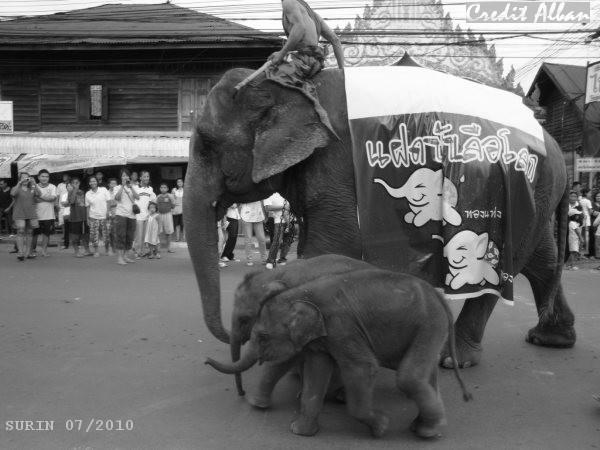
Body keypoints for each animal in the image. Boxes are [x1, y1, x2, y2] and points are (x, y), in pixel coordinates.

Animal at [184, 67, 576, 370]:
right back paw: (551, 338)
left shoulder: (335, 163)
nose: (233, 334)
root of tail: (556, 144)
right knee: (542, 261)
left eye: (205, 142)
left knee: (508, 272)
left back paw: (455, 359)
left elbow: (331, 245)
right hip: (537, 196)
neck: (293, 85)